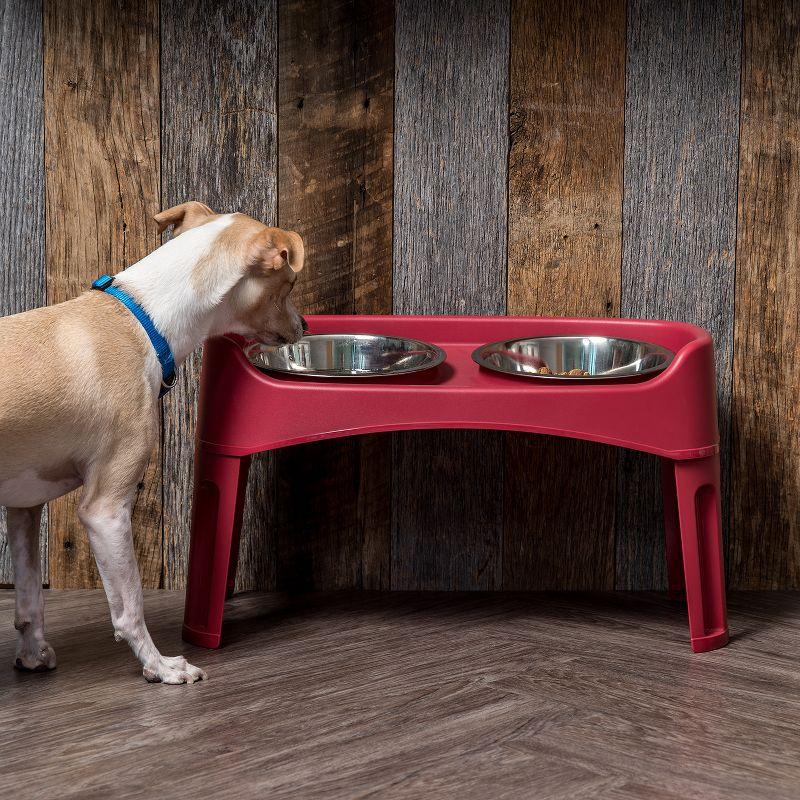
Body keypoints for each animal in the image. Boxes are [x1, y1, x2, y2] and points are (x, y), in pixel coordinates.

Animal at [0, 203, 306, 684]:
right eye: (289, 285)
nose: (305, 325)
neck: (143, 320)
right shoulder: (105, 510)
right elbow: (130, 605)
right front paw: (159, 666)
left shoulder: (24, 503)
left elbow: (30, 598)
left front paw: (32, 655)